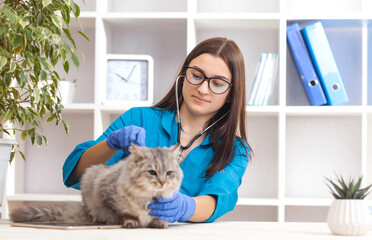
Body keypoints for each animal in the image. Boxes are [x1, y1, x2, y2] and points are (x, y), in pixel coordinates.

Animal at [9, 143, 182, 228]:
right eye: (152, 172)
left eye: (169, 173)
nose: (162, 182)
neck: (147, 198)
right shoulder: (107, 197)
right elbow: (126, 214)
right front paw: (132, 222)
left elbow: (157, 217)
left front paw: (159, 223)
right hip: (89, 178)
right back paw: (97, 219)